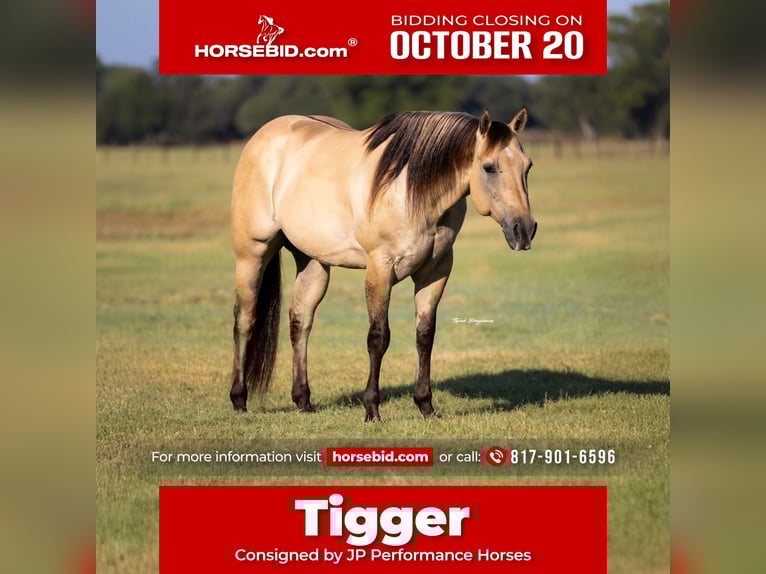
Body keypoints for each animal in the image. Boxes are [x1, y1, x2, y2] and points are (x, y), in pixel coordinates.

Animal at [229, 108, 537, 421]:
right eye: (489, 167)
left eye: (528, 166)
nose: (524, 230)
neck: (410, 190)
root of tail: (264, 135)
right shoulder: (380, 268)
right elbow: (378, 337)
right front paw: (372, 409)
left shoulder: (435, 271)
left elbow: (425, 335)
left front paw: (426, 406)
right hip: (252, 254)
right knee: (245, 321)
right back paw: (239, 399)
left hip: (313, 263)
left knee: (300, 322)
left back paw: (303, 400)